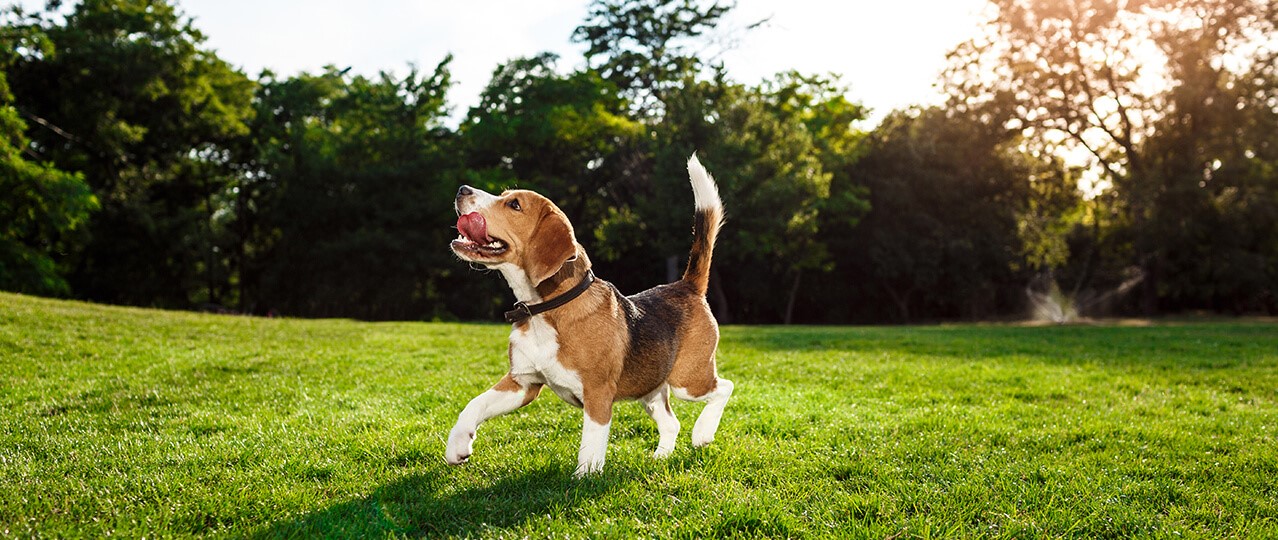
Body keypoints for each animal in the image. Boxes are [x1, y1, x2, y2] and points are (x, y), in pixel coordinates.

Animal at [447, 153, 731, 477]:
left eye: (514, 205)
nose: (462, 189)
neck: (546, 310)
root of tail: (686, 286)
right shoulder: (523, 383)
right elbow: (474, 404)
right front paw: (457, 445)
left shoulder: (597, 394)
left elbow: (591, 444)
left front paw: (584, 478)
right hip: (650, 389)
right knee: (671, 422)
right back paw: (660, 457)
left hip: (689, 380)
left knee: (725, 388)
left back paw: (703, 433)